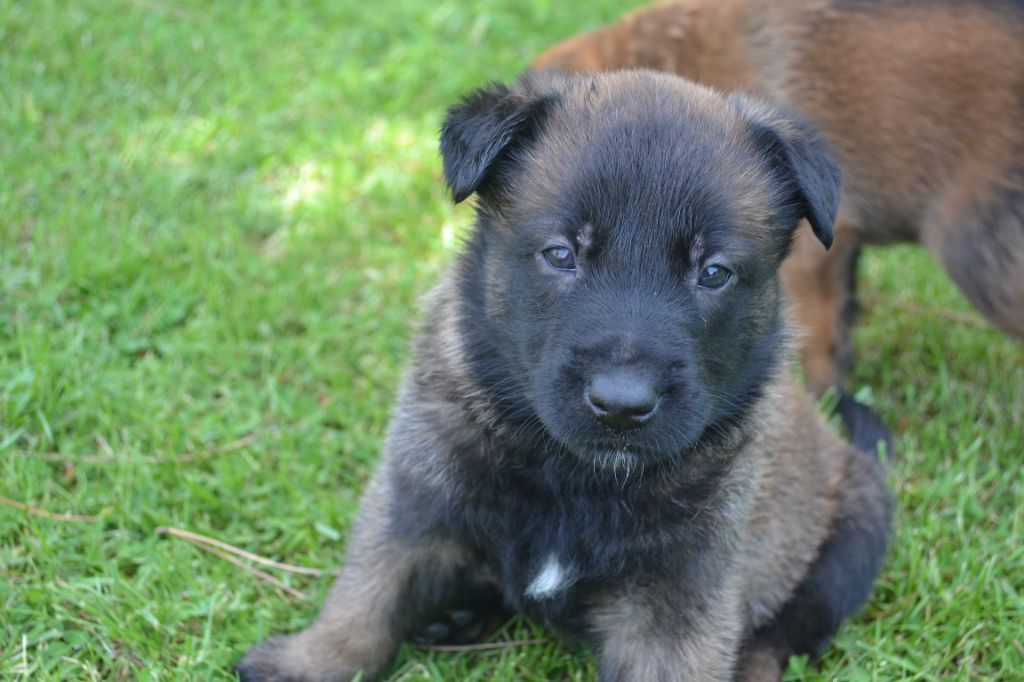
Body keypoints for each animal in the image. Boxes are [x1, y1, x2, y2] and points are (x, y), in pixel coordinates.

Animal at [237, 70, 888, 679]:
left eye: (714, 272)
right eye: (560, 254)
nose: (622, 404)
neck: (567, 474)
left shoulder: (678, 598)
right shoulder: (414, 499)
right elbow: (365, 597)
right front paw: (310, 660)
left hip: (855, 533)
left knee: (786, 633)